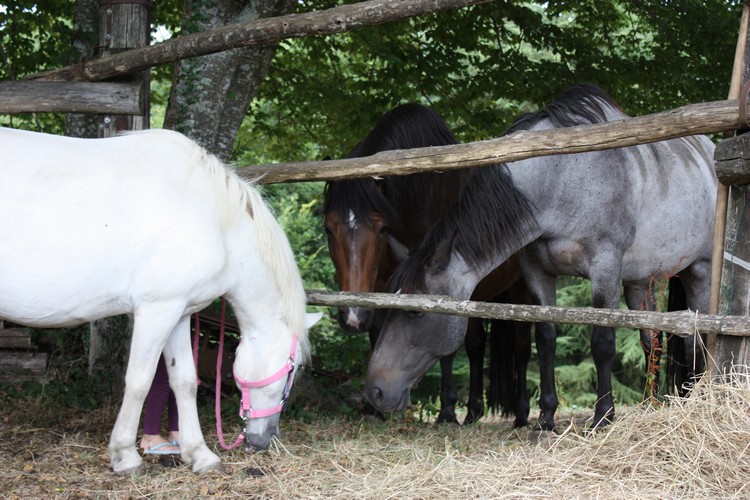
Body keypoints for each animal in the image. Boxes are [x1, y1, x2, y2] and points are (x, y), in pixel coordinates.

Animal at [0, 127, 320, 474]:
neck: (213, 218)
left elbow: (185, 380)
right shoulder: (157, 310)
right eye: (294, 369)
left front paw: (200, 454)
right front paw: (125, 456)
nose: (263, 440)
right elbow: (140, 381)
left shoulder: (178, 313)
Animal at [324, 102, 536, 426]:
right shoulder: (383, 288)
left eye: (381, 229)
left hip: (521, 288)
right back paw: (473, 412)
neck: (421, 196)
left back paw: (525, 414)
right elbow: (380, 336)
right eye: (328, 229)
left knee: (525, 346)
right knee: (476, 345)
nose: (352, 317)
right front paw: (375, 410)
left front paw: (446, 411)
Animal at [368, 83, 720, 430]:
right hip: (639, 283)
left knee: (698, 336)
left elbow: (602, 343)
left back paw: (697, 398)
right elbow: (546, 337)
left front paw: (603, 415)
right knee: (652, 339)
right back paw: (651, 404)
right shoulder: (536, 272)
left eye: (416, 312)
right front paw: (547, 417)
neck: (561, 179)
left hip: (700, 271)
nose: (375, 390)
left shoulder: (605, 269)